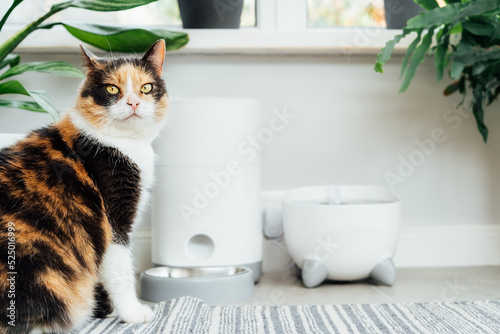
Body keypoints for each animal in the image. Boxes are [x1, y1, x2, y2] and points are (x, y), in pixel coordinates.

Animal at [0, 40, 168, 332]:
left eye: (147, 87)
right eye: (112, 89)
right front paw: (133, 313)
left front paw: (107, 310)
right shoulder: (113, 218)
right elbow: (120, 270)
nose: (134, 102)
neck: (126, 144)